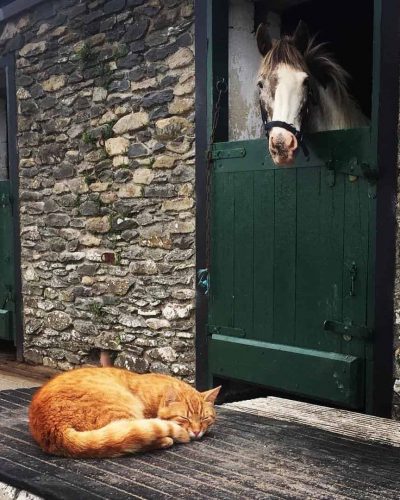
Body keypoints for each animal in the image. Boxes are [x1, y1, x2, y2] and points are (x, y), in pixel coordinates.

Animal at [29, 366, 220, 458]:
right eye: (184, 418)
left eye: (205, 418)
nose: (197, 431)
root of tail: (54, 428)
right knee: (133, 438)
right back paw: (166, 439)